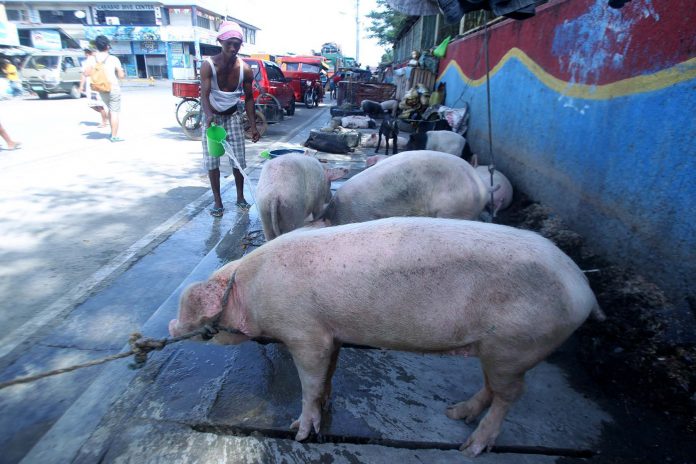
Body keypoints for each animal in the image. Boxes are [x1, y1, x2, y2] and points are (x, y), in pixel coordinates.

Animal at [170, 218, 604, 456]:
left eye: (189, 312)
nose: (171, 328)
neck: (250, 289)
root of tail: (583, 285)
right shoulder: (331, 333)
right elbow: (327, 373)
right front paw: (327, 401)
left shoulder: (304, 331)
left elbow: (309, 380)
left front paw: (300, 430)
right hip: (494, 347)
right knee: (492, 388)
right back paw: (455, 414)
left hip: (515, 346)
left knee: (510, 396)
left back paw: (470, 447)